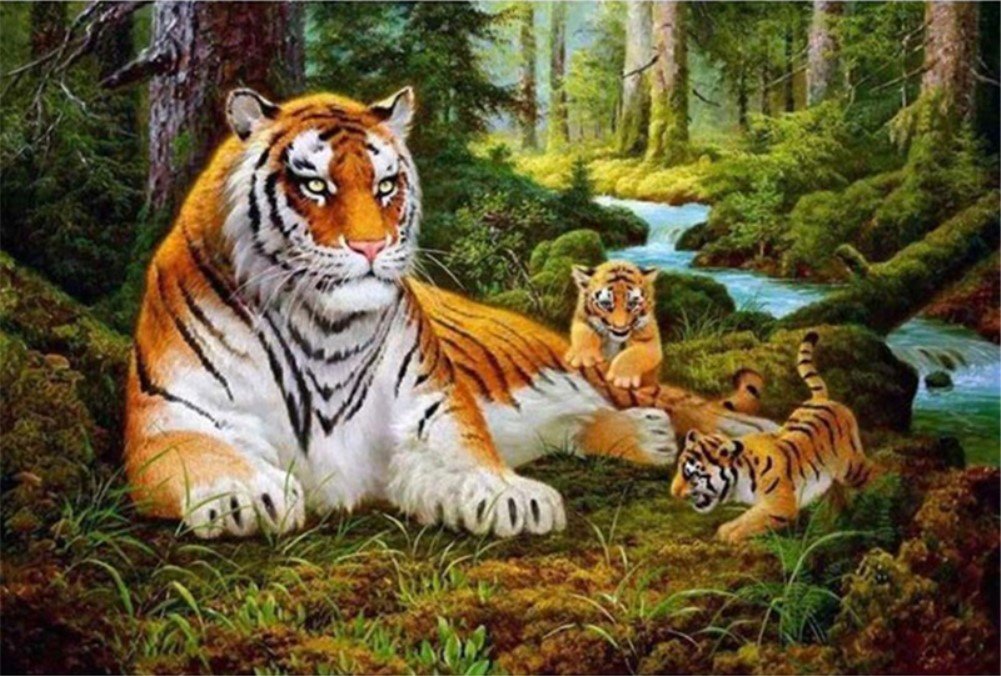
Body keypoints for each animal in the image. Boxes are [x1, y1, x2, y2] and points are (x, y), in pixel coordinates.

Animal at [125, 86, 776, 540]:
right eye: (314, 186)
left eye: (386, 185)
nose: (371, 247)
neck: (323, 328)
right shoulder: (167, 415)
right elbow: (204, 453)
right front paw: (244, 495)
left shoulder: (431, 402)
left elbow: (465, 450)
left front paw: (509, 497)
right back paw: (648, 436)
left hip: (583, 361)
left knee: (682, 401)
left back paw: (745, 433)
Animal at [670, 331, 879, 544]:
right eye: (680, 470)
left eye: (691, 474)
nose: (673, 493)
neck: (740, 479)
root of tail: (821, 399)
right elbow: (749, 516)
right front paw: (726, 530)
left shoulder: (780, 505)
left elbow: (751, 521)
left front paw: (729, 533)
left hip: (852, 466)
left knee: (872, 474)